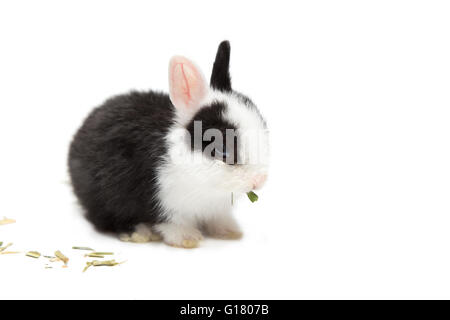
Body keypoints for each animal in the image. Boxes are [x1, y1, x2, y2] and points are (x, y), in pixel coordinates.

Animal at [68, 41, 268, 249]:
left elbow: (218, 218)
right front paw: (188, 239)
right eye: (222, 151)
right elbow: (171, 222)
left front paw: (230, 232)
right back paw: (139, 233)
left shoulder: (216, 208)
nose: (260, 180)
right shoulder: (162, 202)